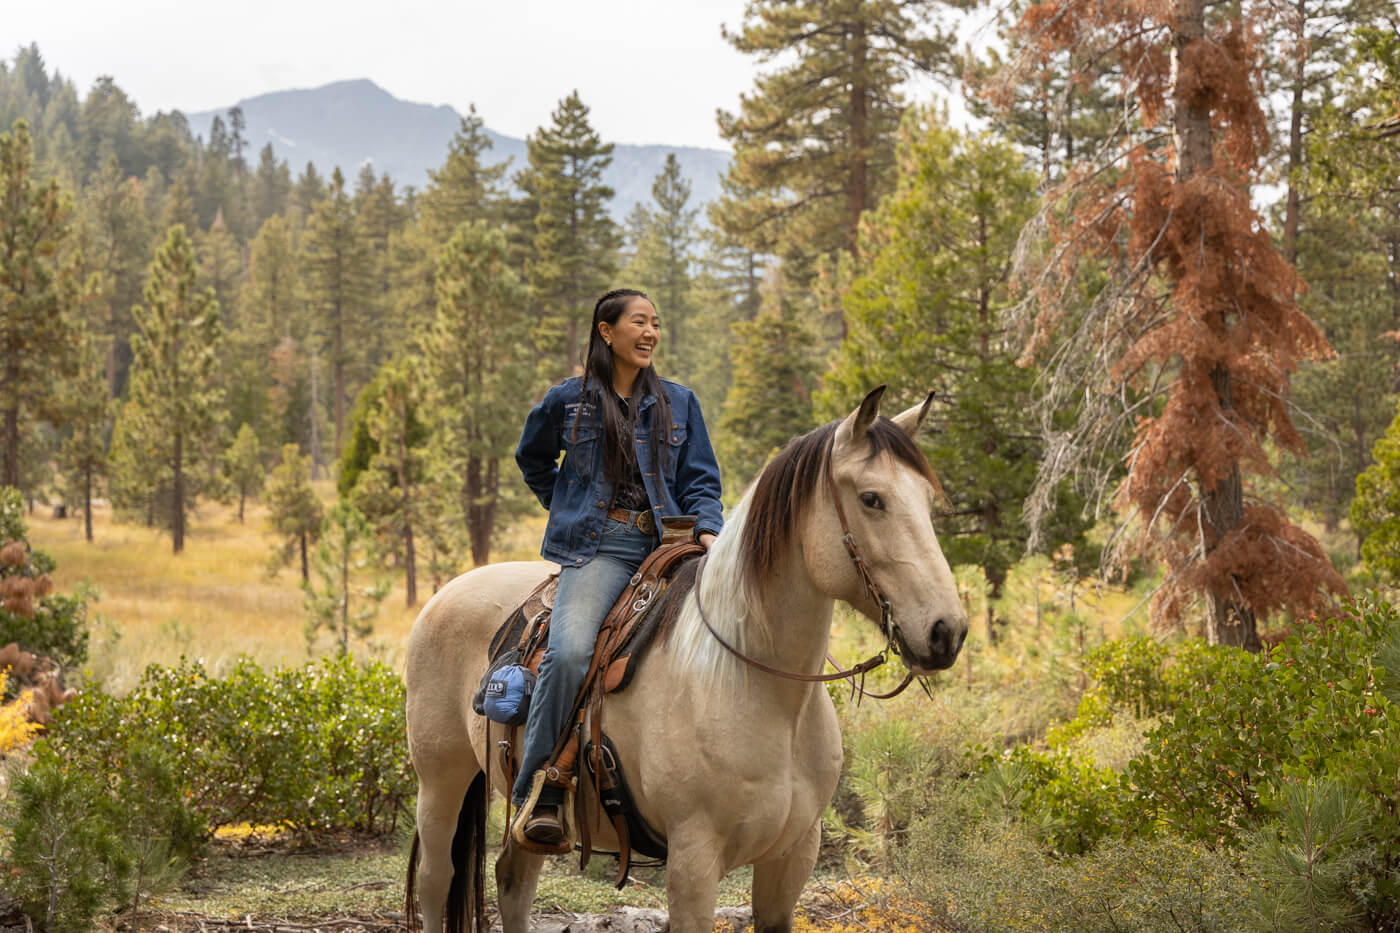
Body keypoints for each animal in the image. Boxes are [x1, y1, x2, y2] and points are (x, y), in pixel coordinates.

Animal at [406, 383, 968, 930]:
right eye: (872, 499)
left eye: (926, 499)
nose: (948, 632)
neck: (752, 686)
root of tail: (444, 593)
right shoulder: (694, 862)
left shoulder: (792, 858)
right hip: (440, 779)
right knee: (437, 880)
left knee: (514, 880)